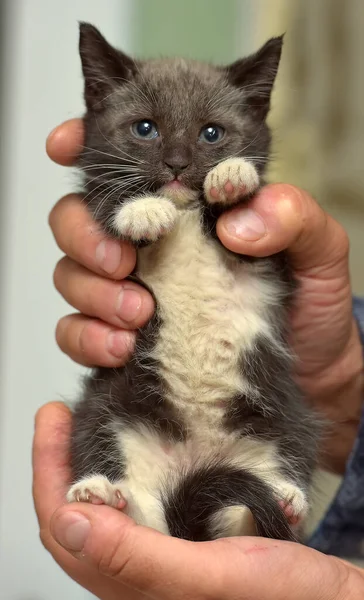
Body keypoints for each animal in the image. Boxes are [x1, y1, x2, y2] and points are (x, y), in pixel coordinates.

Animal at [67, 21, 320, 540]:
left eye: (212, 133)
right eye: (145, 128)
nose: (178, 164)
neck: (184, 214)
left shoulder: (276, 259)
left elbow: (247, 230)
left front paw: (233, 178)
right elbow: (104, 205)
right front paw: (141, 211)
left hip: (286, 413)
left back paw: (285, 499)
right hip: (106, 403)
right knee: (110, 457)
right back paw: (101, 492)